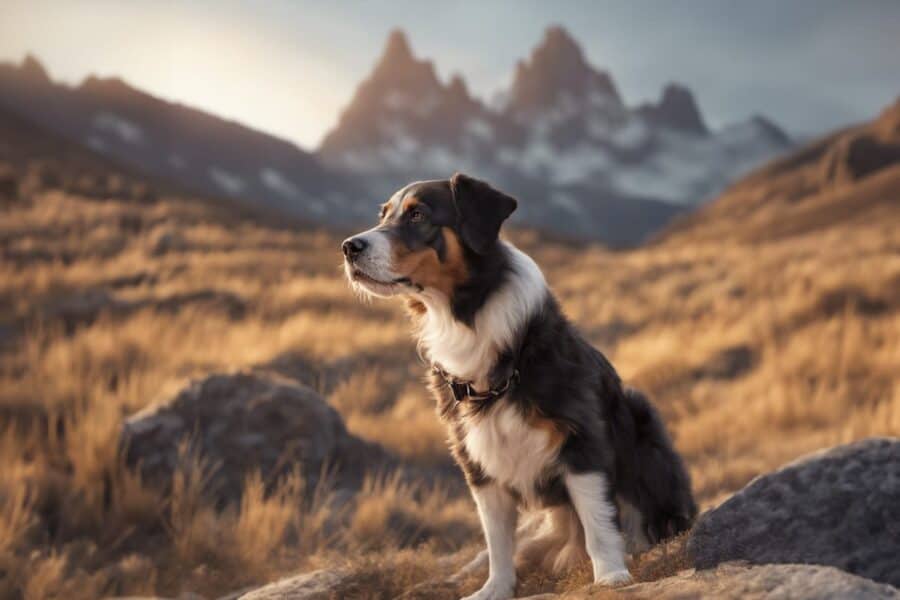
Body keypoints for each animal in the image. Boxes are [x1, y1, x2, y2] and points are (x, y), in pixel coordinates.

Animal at [342, 171, 696, 596]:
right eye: (384, 214)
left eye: (417, 215)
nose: (349, 247)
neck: (468, 321)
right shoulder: (477, 459)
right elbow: (497, 539)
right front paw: (495, 589)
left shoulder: (580, 439)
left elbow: (598, 519)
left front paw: (611, 575)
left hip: (644, 424)